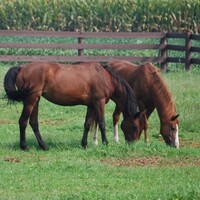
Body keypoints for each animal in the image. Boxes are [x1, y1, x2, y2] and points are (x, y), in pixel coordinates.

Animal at [3, 61, 147, 150]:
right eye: (135, 126)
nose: (132, 143)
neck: (106, 77)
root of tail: (21, 67)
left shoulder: (91, 105)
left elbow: (87, 124)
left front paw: (84, 144)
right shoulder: (99, 102)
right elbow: (102, 123)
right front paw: (105, 142)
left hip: (35, 100)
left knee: (33, 123)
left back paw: (43, 146)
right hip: (30, 100)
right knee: (23, 121)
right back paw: (24, 146)